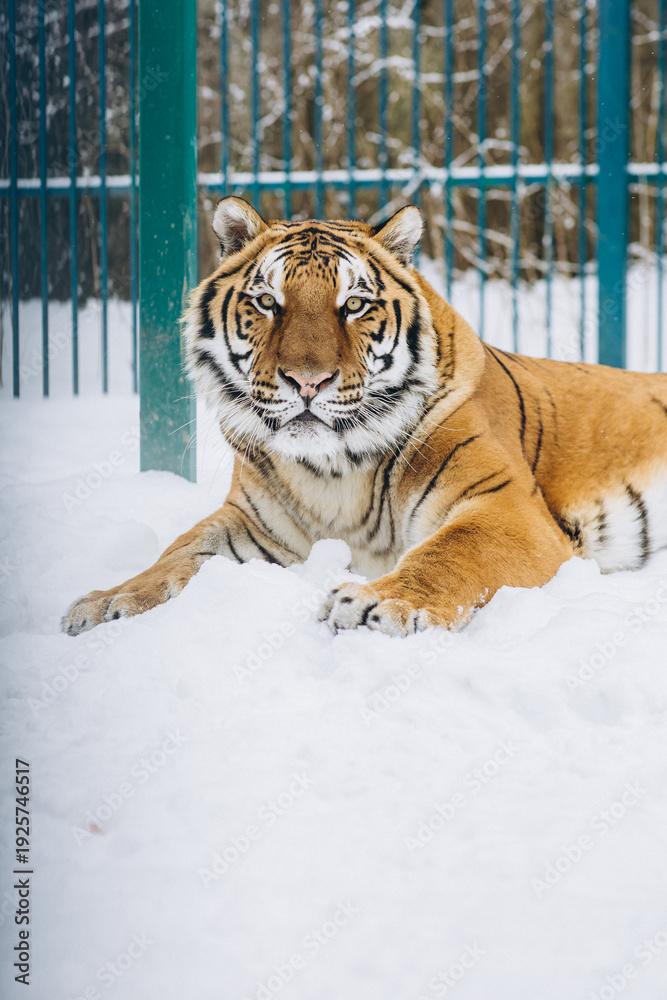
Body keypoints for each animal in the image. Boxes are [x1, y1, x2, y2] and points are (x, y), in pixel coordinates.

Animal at [62, 196, 667, 638]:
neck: (331, 469)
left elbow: (451, 553)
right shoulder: (250, 524)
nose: (307, 381)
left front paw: (377, 604)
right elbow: (177, 554)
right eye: (267, 303)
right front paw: (109, 600)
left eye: (354, 305)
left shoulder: (504, 507)